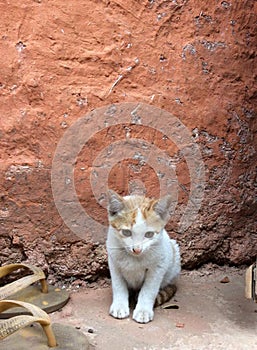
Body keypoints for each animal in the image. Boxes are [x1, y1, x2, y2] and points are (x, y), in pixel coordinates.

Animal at [106, 190, 180, 324]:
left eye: (149, 234)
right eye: (126, 232)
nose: (137, 249)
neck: (134, 258)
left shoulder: (158, 266)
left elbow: (149, 290)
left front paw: (143, 311)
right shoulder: (113, 261)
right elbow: (118, 285)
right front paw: (119, 306)